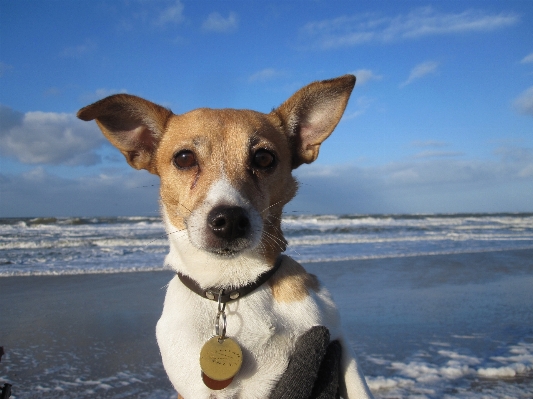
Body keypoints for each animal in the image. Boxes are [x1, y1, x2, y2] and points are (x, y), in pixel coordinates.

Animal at [77, 76, 372, 399]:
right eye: (184, 158)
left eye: (264, 158)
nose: (229, 221)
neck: (231, 285)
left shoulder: (338, 339)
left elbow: (357, 386)